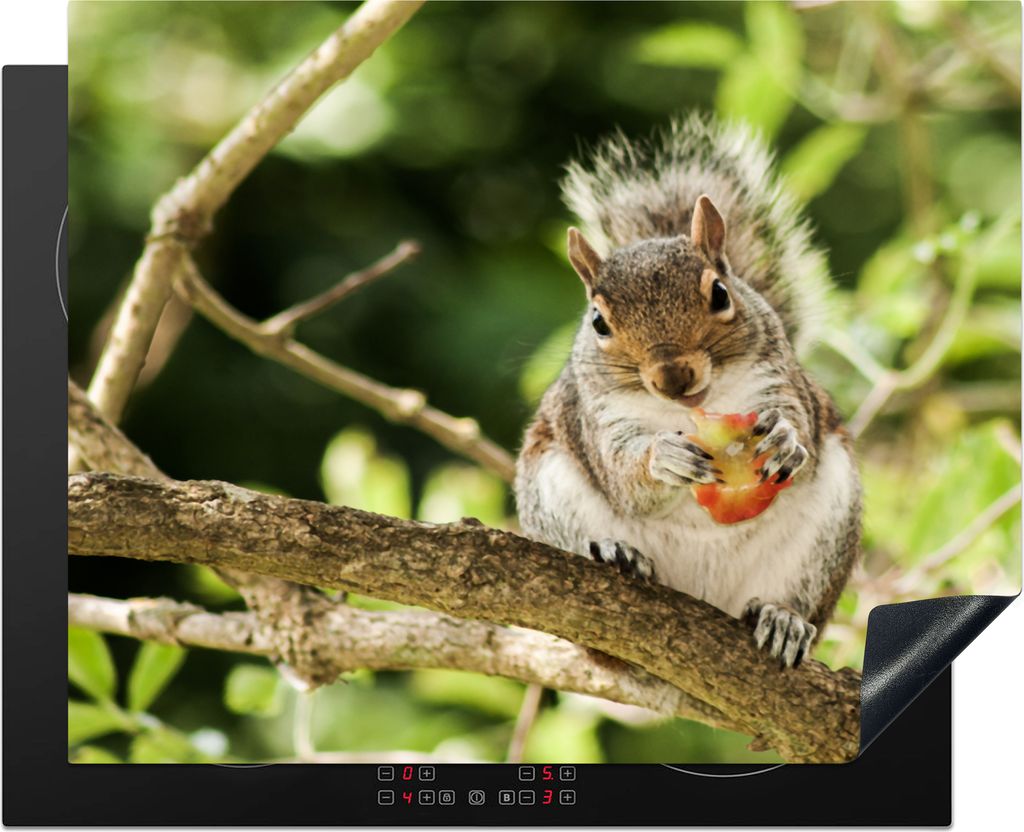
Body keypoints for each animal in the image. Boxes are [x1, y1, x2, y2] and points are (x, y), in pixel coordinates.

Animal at [514, 115, 862, 669]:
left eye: (720, 293)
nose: (674, 377)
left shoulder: (780, 380)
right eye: (598, 322)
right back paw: (615, 554)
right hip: (552, 499)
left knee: (793, 595)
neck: (695, 410)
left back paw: (783, 619)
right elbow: (623, 474)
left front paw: (785, 440)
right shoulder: (599, 417)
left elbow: (799, 424)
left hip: (826, 534)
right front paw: (665, 457)